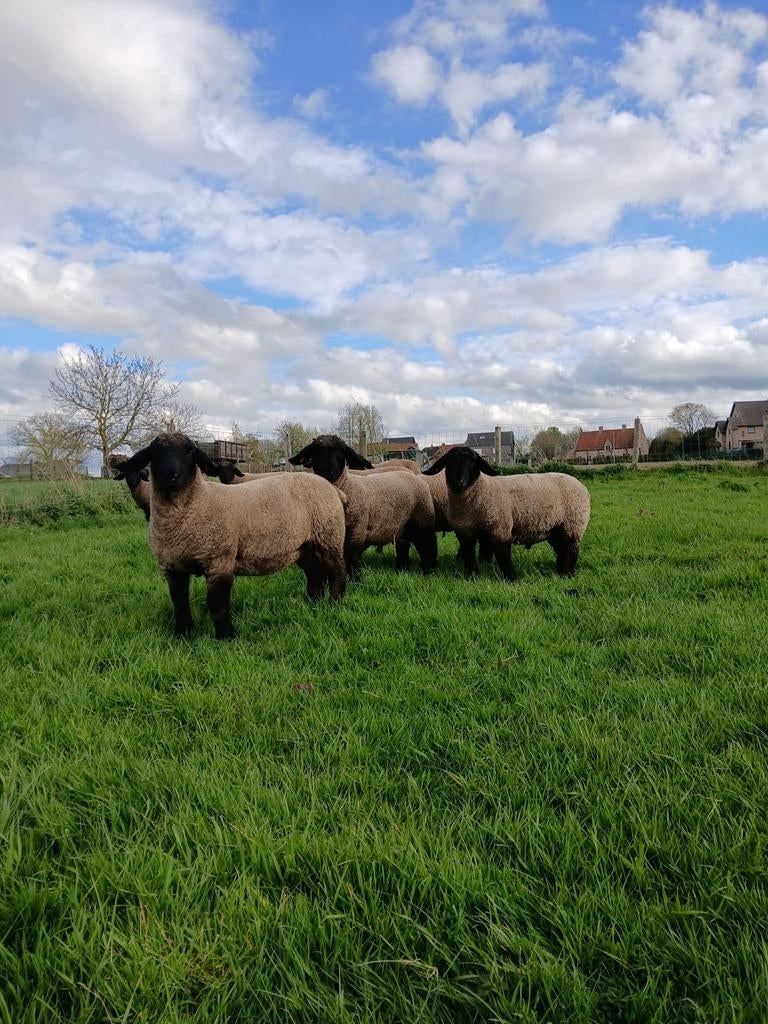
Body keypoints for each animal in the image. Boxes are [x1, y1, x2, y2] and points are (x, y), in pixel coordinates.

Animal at [113, 433, 347, 640]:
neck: (196, 503)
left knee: (337, 570)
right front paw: (182, 636)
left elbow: (218, 606)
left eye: (190, 452)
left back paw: (334, 603)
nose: (171, 476)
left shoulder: (220, 561)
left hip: (329, 536)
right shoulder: (172, 567)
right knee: (315, 574)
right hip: (305, 545)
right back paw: (314, 603)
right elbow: (179, 604)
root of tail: (333, 489)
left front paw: (226, 638)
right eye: (155, 451)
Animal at [289, 434, 437, 578]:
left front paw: (355, 581)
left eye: (341, 453)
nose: (328, 472)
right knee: (403, 546)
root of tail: (416, 476)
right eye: (315, 452)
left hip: (422, 518)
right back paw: (402, 570)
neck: (347, 486)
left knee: (428, 544)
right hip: (402, 526)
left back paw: (429, 572)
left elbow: (352, 559)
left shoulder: (356, 531)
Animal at [423, 446, 590, 580]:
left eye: (473, 462)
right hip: (556, 528)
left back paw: (567, 574)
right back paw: (560, 572)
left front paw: (511, 579)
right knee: (562, 550)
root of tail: (581, 485)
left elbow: (503, 556)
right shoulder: (464, 533)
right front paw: (472, 576)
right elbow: (469, 555)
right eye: (449, 462)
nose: (459, 482)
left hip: (573, 524)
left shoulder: (500, 528)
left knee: (571, 550)